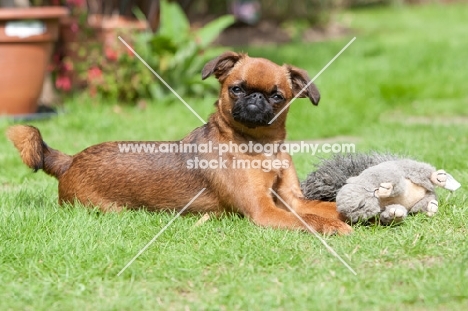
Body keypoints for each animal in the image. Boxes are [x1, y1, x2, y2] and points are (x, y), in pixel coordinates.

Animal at [6, 51, 352, 234]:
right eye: (236, 89)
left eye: (277, 97)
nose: (255, 99)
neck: (260, 146)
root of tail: (70, 160)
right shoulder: (264, 210)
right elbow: (308, 219)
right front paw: (333, 226)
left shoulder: (291, 199)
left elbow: (324, 207)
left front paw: (348, 213)